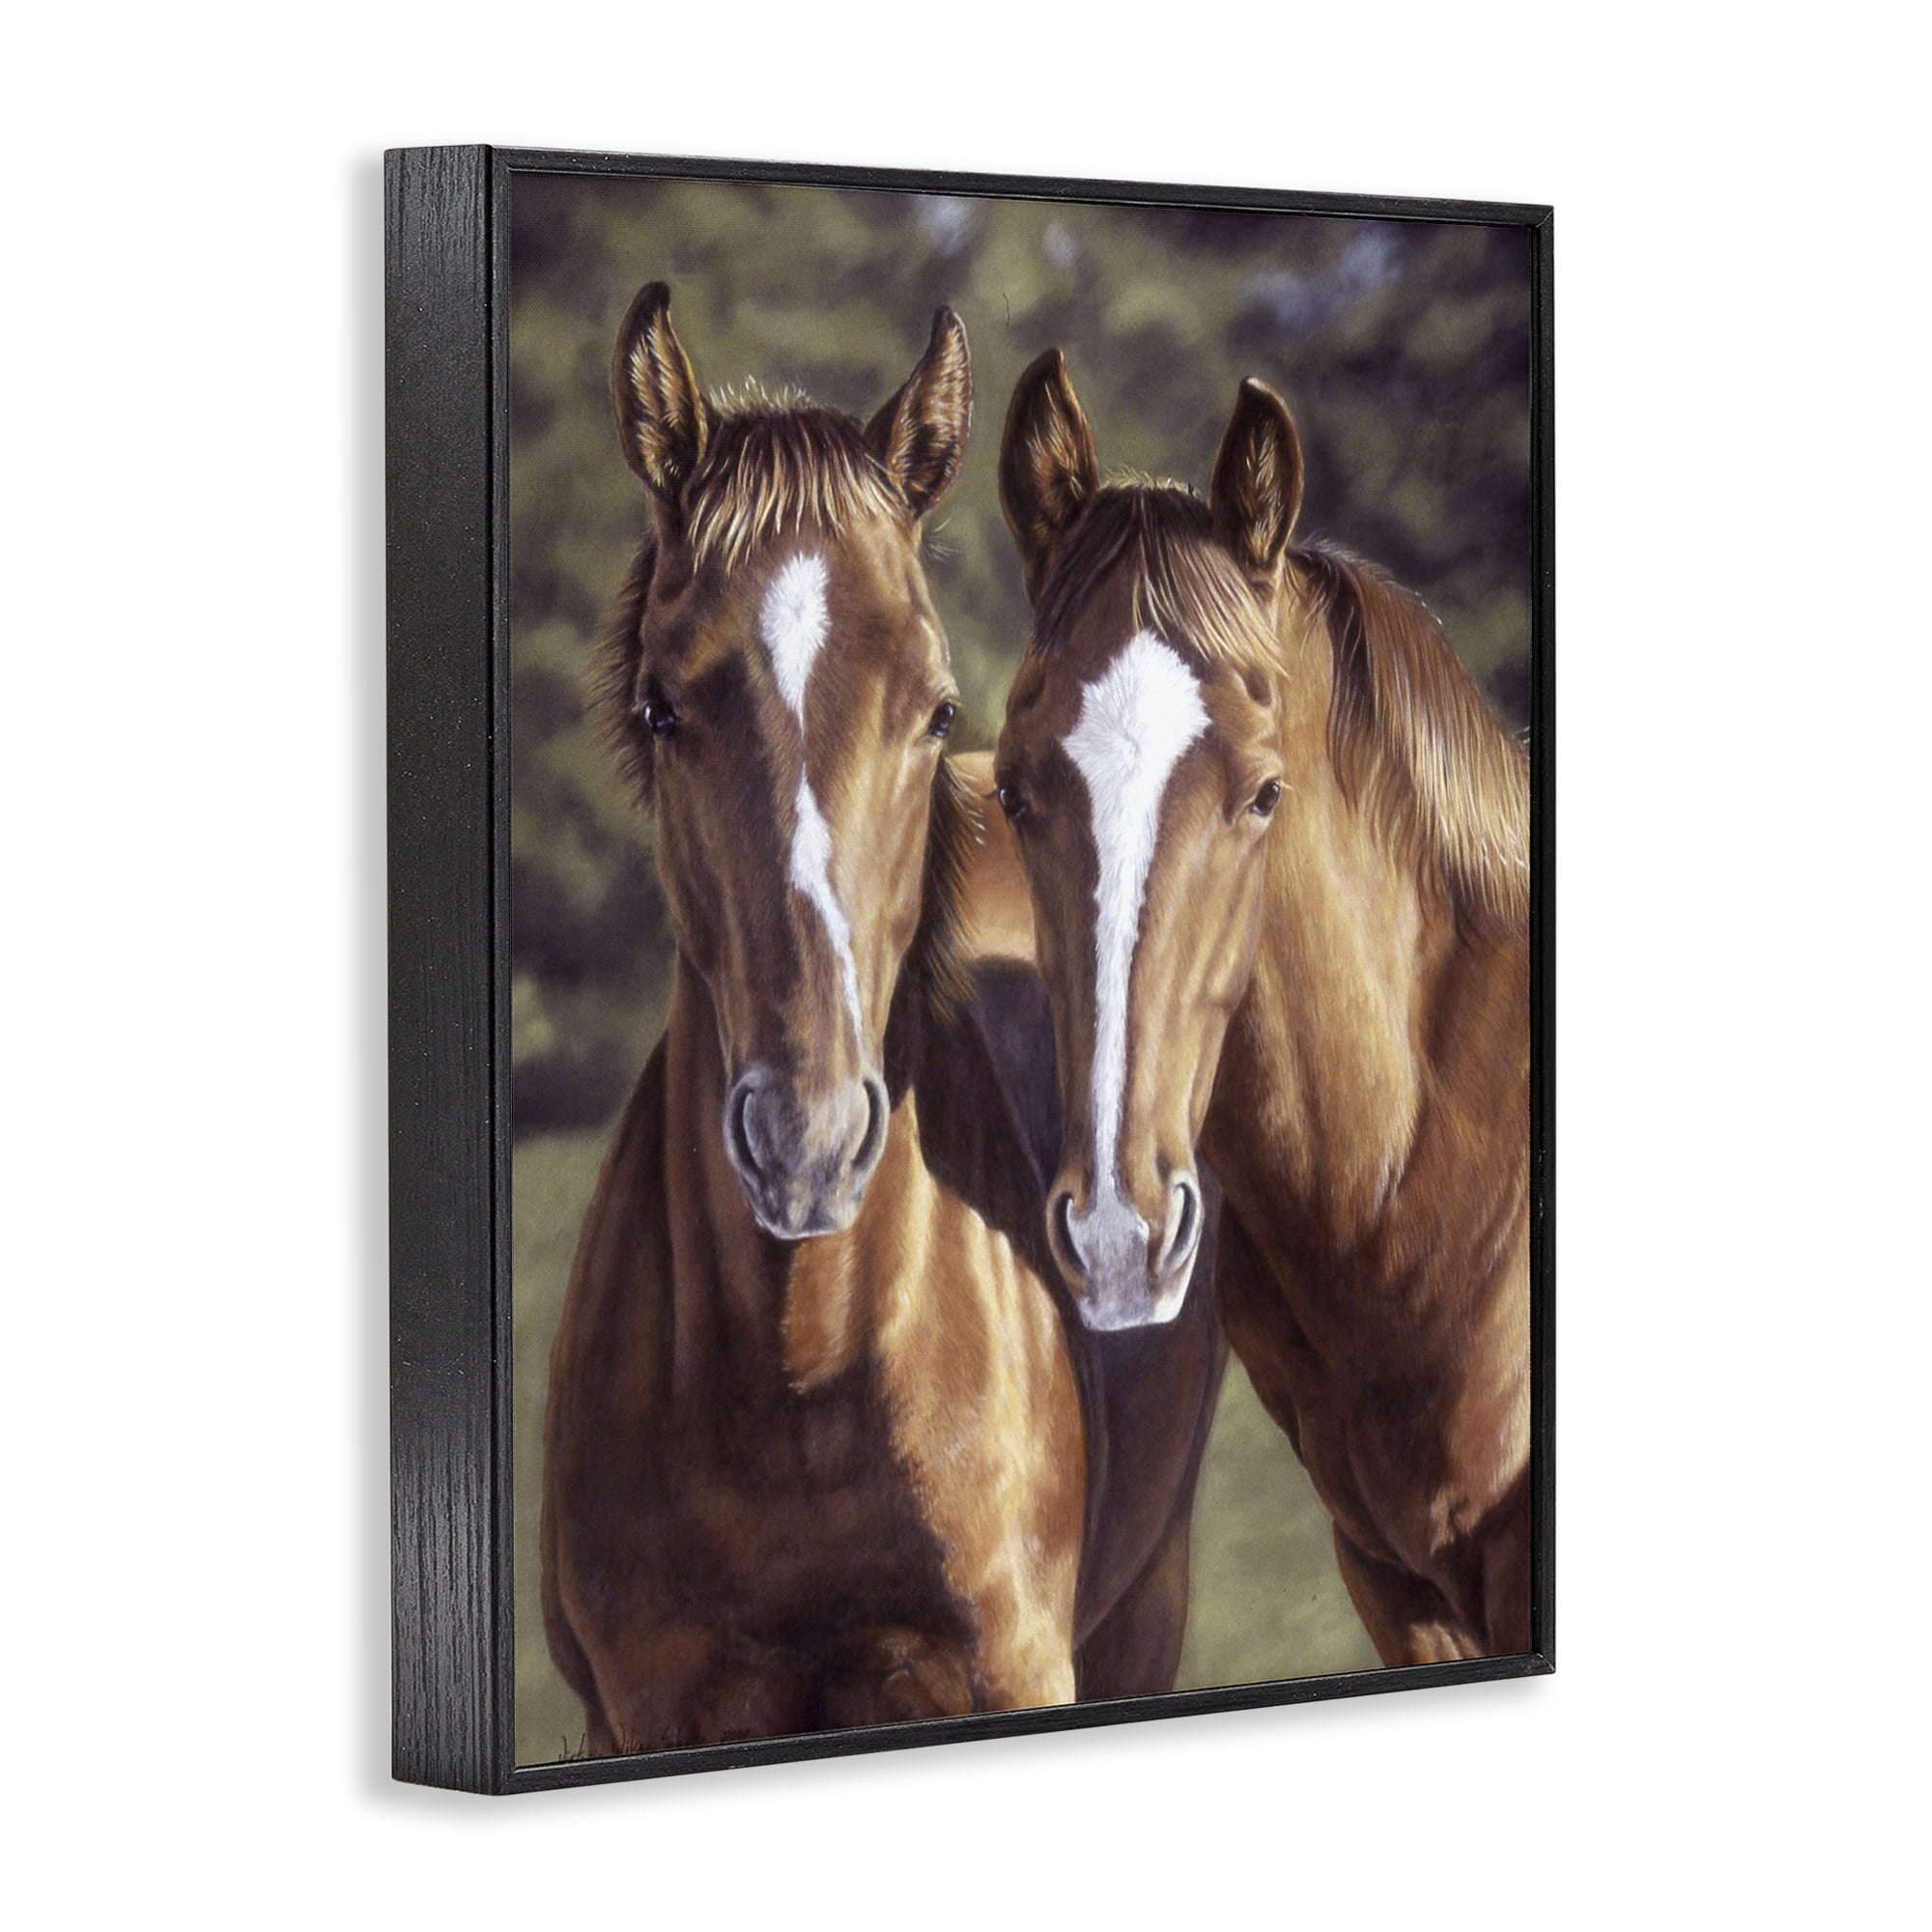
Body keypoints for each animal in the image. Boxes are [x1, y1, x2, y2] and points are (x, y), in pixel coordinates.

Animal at [539, 289, 1225, 1756]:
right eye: (661, 707)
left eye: (934, 705)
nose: (806, 1140)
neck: (807, 1387)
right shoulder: (647, 1708)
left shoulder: (1015, 1668)